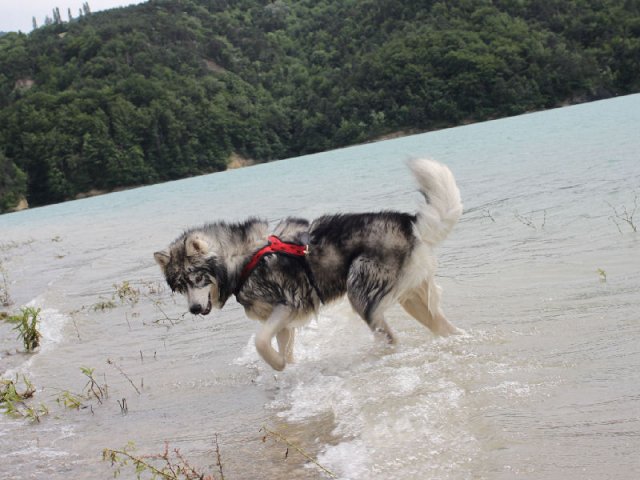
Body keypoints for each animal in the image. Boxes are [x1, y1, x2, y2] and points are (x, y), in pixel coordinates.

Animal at [154, 159, 462, 371]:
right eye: (179, 286)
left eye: (196, 278)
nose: (194, 310)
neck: (243, 260)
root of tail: (408, 221)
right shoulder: (281, 321)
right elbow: (281, 346)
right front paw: (289, 368)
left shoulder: (287, 304)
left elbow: (261, 343)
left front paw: (278, 366)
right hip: (412, 299)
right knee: (445, 328)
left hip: (361, 294)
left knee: (389, 338)